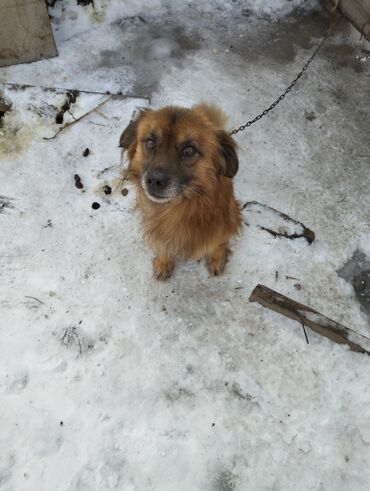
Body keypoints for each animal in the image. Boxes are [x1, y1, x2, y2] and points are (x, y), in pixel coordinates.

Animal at [120, 104, 241, 280]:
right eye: (150, 142)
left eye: (189, 150)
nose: (154, 181)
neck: (178, 209)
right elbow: (162, 244)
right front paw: (163, 263)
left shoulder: (224, 225)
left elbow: (218, 244)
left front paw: (216, 260)